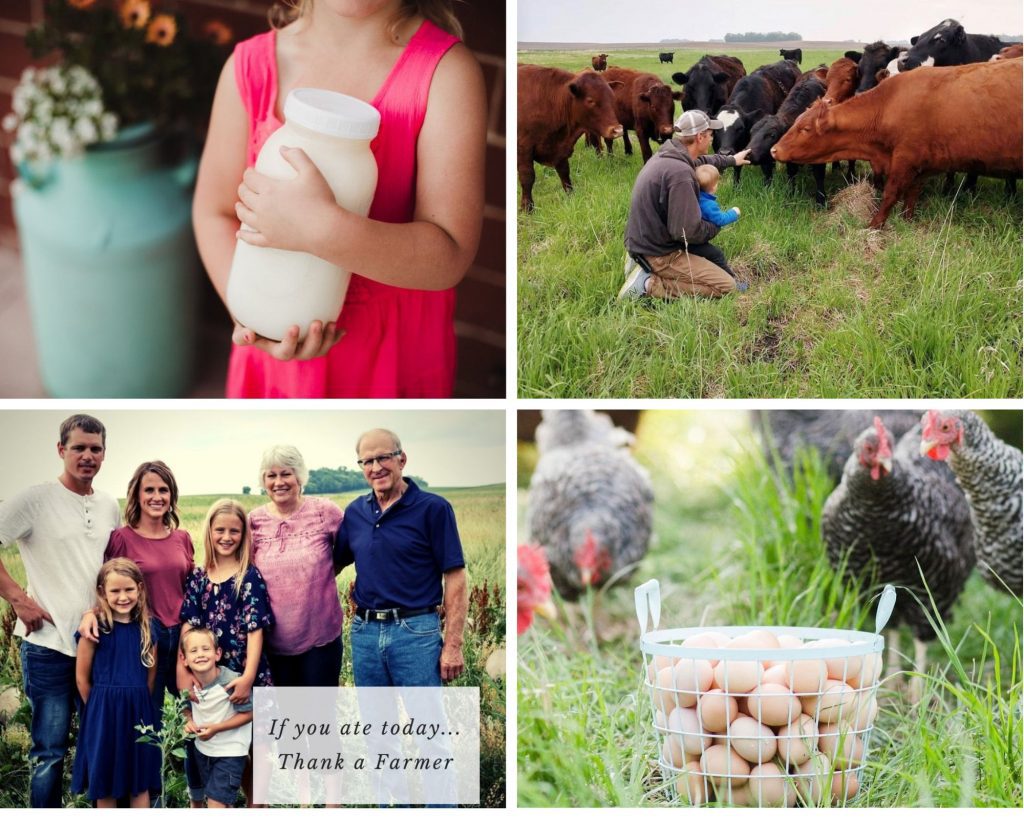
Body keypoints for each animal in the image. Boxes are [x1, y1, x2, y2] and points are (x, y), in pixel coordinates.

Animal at [516, 64, 618, 210]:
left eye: (612, 98)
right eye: (590, 100)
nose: (618, 130)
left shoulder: (561, 150)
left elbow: (565, 173)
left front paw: (571, 197)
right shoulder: (523, 149)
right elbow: (527, 177)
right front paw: (527, 207)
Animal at [770, 60, 1019, 227]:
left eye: (805, 129)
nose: (774, 149)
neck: (888, 105)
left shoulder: (905, 159)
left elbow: (890, 195)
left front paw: (874, 225)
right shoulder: (919, 167)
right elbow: (911, 195)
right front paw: (906, 220)